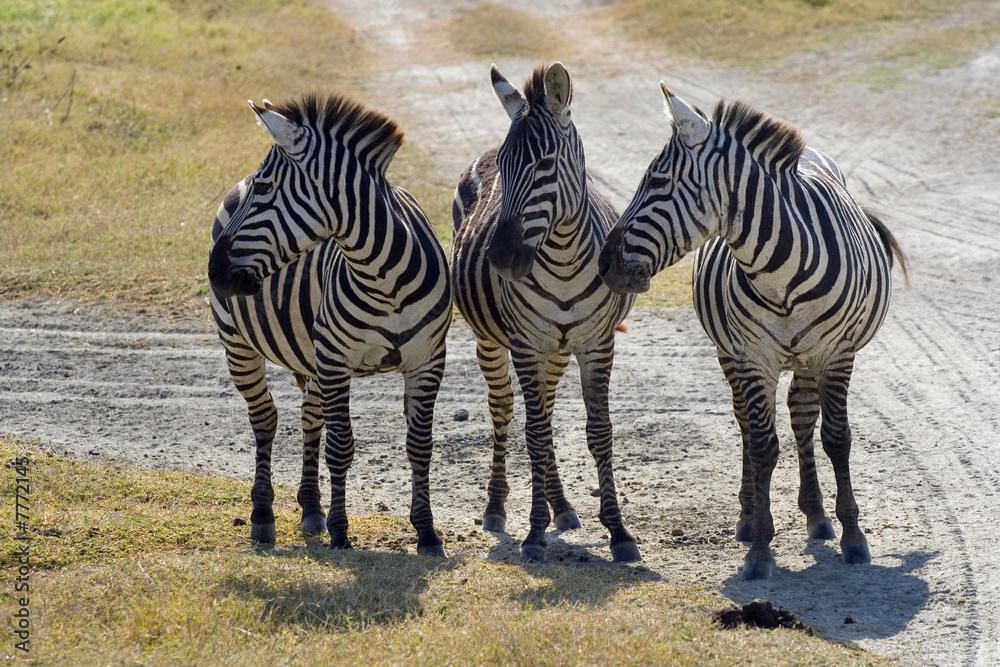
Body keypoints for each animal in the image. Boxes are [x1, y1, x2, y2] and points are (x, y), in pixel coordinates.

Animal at [207, 93, 452, 556]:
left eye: (265, 190)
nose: (214, 273)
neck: (384, 276)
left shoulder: (428, 360)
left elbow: (419, 446)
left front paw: (428, 533)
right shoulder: (338, 359)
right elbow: (341, 447)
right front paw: (341, 532)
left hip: (313, 356)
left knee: (309, 418)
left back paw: (311, 508)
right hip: (239, 344)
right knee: (265, 418)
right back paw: (263, 516)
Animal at [451, 62, 639, 563]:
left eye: (545, 164)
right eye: (504, 167)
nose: (502, 258)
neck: (563, 262)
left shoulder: (597, 344)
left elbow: (599, 431)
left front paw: (619, 532)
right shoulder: (525, 344)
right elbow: (533, 433)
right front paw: (534, 534)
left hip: (558, 348)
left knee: (549, 410)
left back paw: (563, 506)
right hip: (492, 341)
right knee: (504, 409)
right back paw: (496, 508)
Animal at [599, 84, 907, 579]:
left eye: (657, 182)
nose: (605, 265)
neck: (782, 276)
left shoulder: (836, 353)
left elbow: (837, 438)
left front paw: (854, 538)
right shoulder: (750, 356)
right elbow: (762, 446)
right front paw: (760, 548)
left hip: (806, 357)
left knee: (802, 416)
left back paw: (818, 516)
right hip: (731, 354)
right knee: (747, 421)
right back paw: (749, 518)